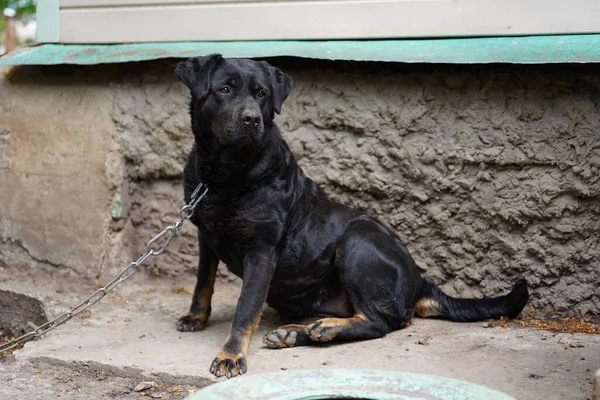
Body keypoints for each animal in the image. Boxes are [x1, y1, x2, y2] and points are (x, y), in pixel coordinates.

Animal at [173, 55, 528, 378]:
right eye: (224, 89)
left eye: (261, 94)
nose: (251, 119)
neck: (223, 176)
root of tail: (420, 280)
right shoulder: (205, 235)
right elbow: (202, 282)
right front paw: (196, 317)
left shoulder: (262, 249)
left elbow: (246, 307)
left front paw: (231, 354)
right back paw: (295, 333)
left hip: (358, 240)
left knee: (381, 321)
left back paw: (326, 328)